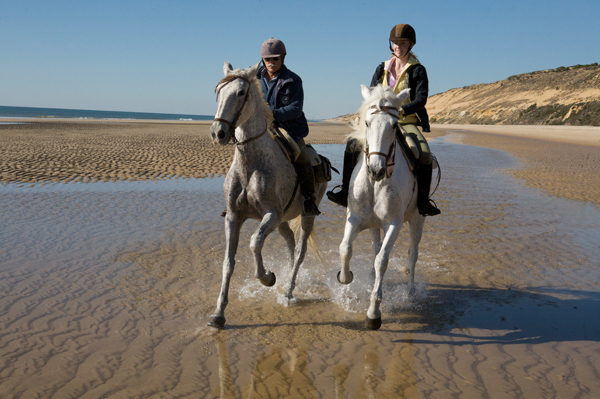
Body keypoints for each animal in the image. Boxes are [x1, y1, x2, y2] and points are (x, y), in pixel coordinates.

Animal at [207, 62, 328, 330]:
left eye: (241, 92)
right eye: (218, 92)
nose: (218, 133)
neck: (251, 165)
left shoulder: (270, 215)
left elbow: (255, 242)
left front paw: (267, 278)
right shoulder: (233, 217)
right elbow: (228, 262)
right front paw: (218, 313)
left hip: (306, 215)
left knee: (301, 250)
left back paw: (288, 291)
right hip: (283, 222)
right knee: (291, 244)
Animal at [338, 84, 426, 332]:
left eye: (395, 125)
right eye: (367, 123)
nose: (376, 170)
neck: (375, 183)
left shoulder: (393, 225)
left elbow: (382, 260)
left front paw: (374, 312)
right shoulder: (355, 218)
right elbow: (345, 248)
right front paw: (345, 278)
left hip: (417, 220)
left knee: (412, 254)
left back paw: (411, 292)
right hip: (374, 225)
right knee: (376, 246)